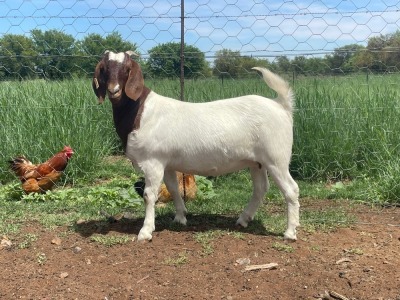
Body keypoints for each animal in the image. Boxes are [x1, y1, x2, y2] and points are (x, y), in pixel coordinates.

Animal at [93, 49, 300, 241]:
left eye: (127, 68)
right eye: (104, 68)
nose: (114, 90)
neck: (140, 111)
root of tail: (281, 105)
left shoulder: (153, 161)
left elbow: (149, 195)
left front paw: (145, 231)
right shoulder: (166, 162)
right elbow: (173, 188)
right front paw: (180, 217)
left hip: (276, 157)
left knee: (291, 189)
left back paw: (290, 232)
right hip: (257, 162)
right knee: (260, 188)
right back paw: (243, 219)